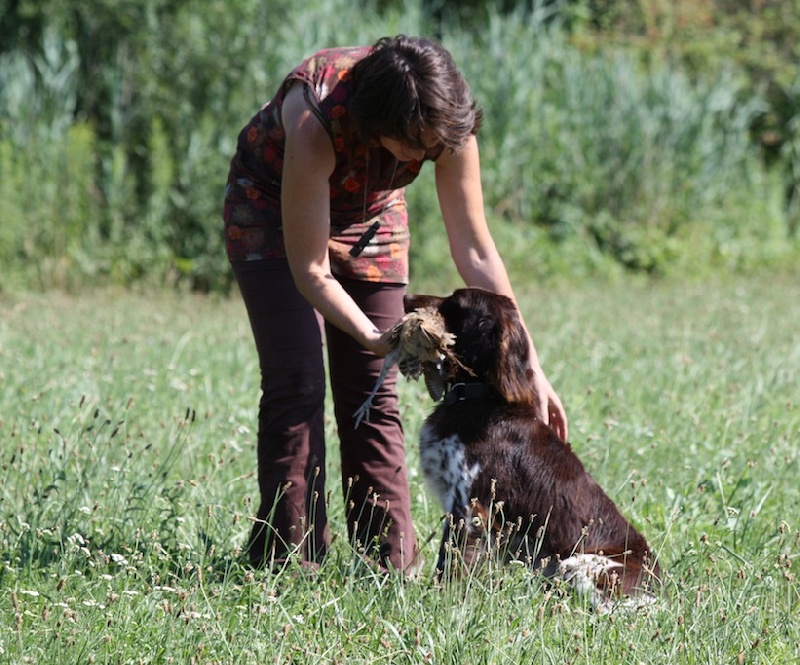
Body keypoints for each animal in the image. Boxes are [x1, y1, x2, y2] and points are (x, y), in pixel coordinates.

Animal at [406, 288, 664, 608]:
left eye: (455, 302)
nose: (405, 297)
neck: (481, 398)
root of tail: (659, 590)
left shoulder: (472, 509)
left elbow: (452, 565)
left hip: (579, 564)